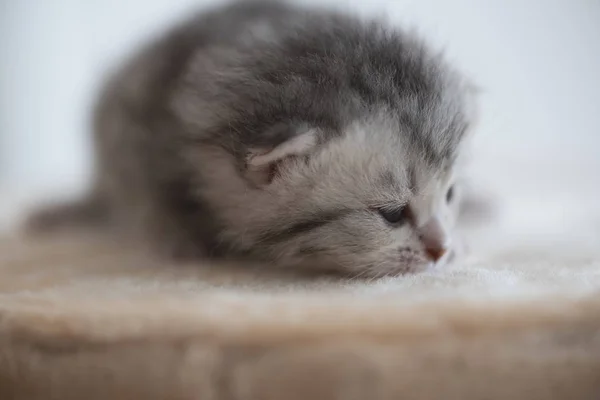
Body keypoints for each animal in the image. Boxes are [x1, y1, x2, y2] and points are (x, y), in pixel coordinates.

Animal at [27, 0, 478, 276]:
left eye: (450, 194)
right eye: (392, 214)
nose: (440, 249)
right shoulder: (132, 126)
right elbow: (147, 193)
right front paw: (177, 234)